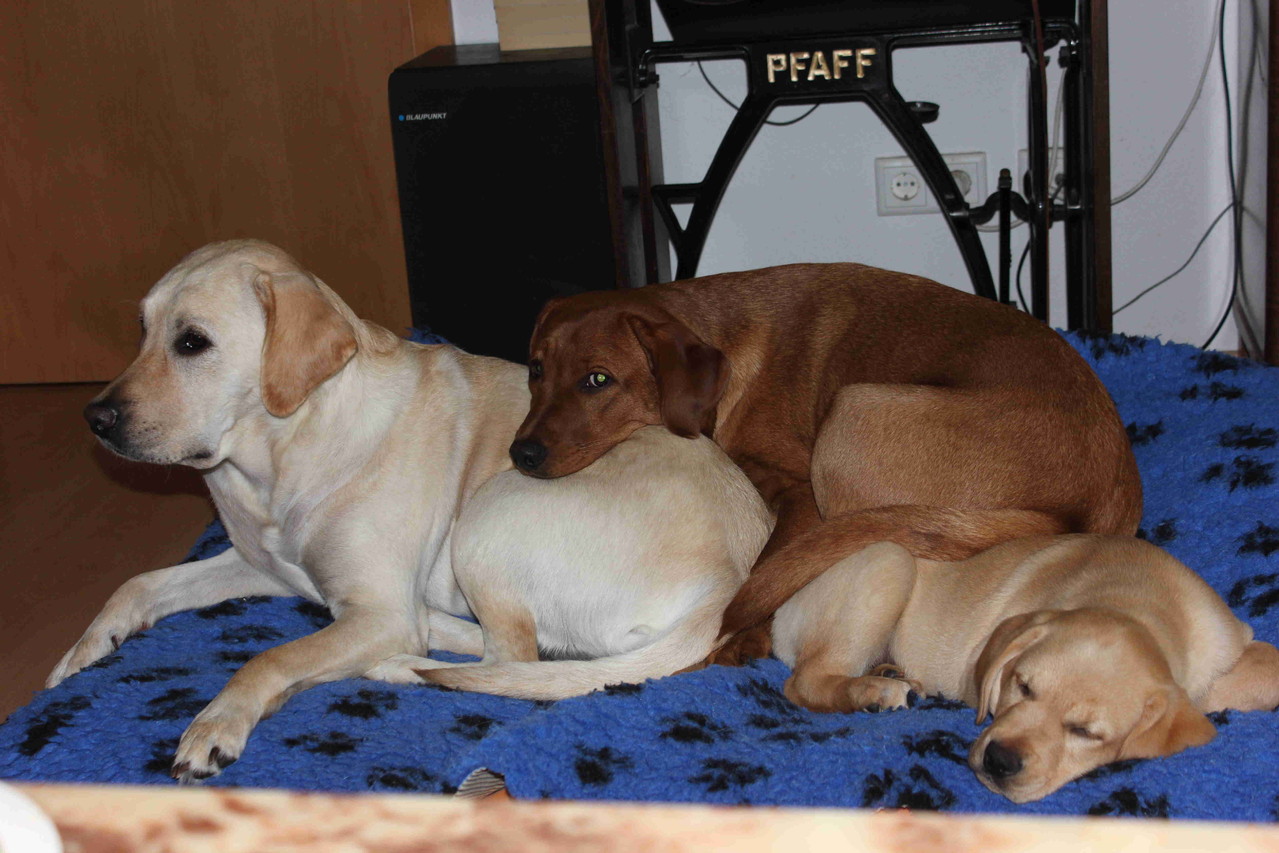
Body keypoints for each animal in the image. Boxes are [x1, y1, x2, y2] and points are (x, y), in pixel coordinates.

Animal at [509, 262, 1140, 659]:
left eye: (598, 380)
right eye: (535, 368)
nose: (522, 453)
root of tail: (1075, 510)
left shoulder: (801, 494)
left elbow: (767, 566)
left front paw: (743, 640)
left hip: (853, 411)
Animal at [767, 537, 1279, 803]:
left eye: (1086, 732)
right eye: (1023, 686)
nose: (999, 762)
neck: (1135, 601)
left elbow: (1263, 665)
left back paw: (894, 675)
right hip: (890, 561)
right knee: (805, 681)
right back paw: (877, 692)